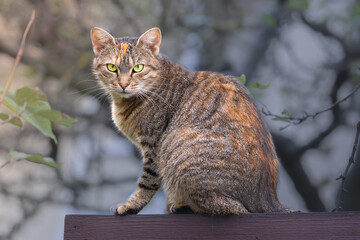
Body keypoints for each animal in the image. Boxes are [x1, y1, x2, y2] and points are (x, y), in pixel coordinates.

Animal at [90, 26, 292, 216]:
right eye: (112, 67)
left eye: (138, 68)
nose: (123, 84)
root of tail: (270, 201)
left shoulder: (153, 147)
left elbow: (147, 183)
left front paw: (131, 206)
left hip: (176, 147)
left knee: (230, 207)